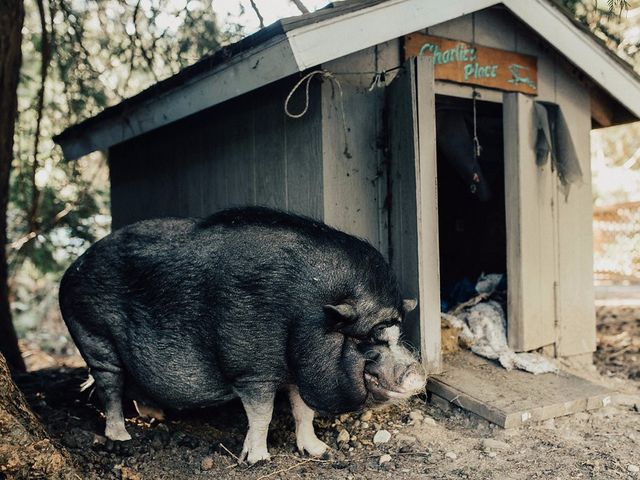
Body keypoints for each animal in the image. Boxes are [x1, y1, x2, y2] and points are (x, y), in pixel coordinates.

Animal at [60, 208, 428, 464]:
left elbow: (303, 410)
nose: (418, 373)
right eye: (369, 339)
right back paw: (122, 438)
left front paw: (319, 451)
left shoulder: (297, 370)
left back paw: (155, 417)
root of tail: (71, 269)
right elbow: (262, 413)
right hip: (93, 335)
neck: (303, 316)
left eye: (397, 332)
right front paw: (257, 460)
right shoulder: (252, 369)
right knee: (110, 385)